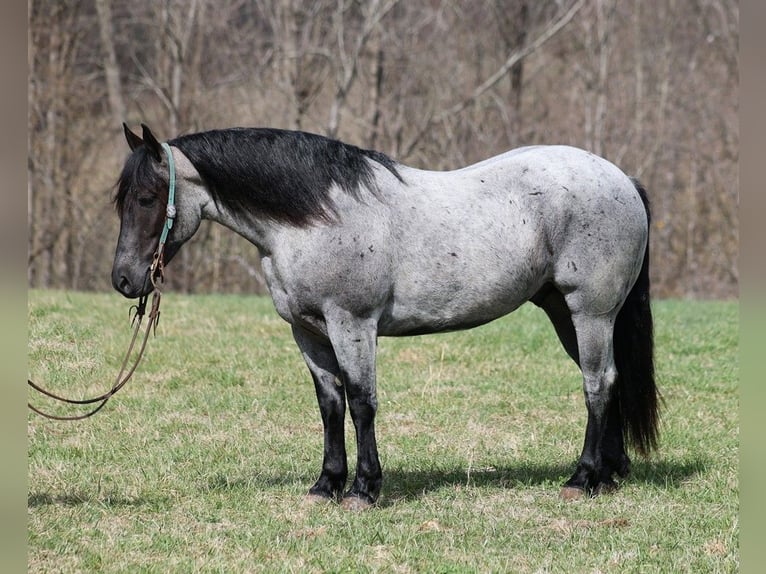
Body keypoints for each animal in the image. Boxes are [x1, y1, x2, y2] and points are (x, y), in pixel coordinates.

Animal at [112, 124, 660, 510]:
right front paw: (326, 485)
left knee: (597, 383)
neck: (316, 218)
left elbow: (361, 402)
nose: (123, 280)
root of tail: (622, 180)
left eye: (147, 198)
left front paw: (363, 489)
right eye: (122, 201)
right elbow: (330, 404)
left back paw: (582, 478)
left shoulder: (352, 324)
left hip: (590, 311)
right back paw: (609, 473)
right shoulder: (307, 332)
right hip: (565, 312)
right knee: (607, 379)